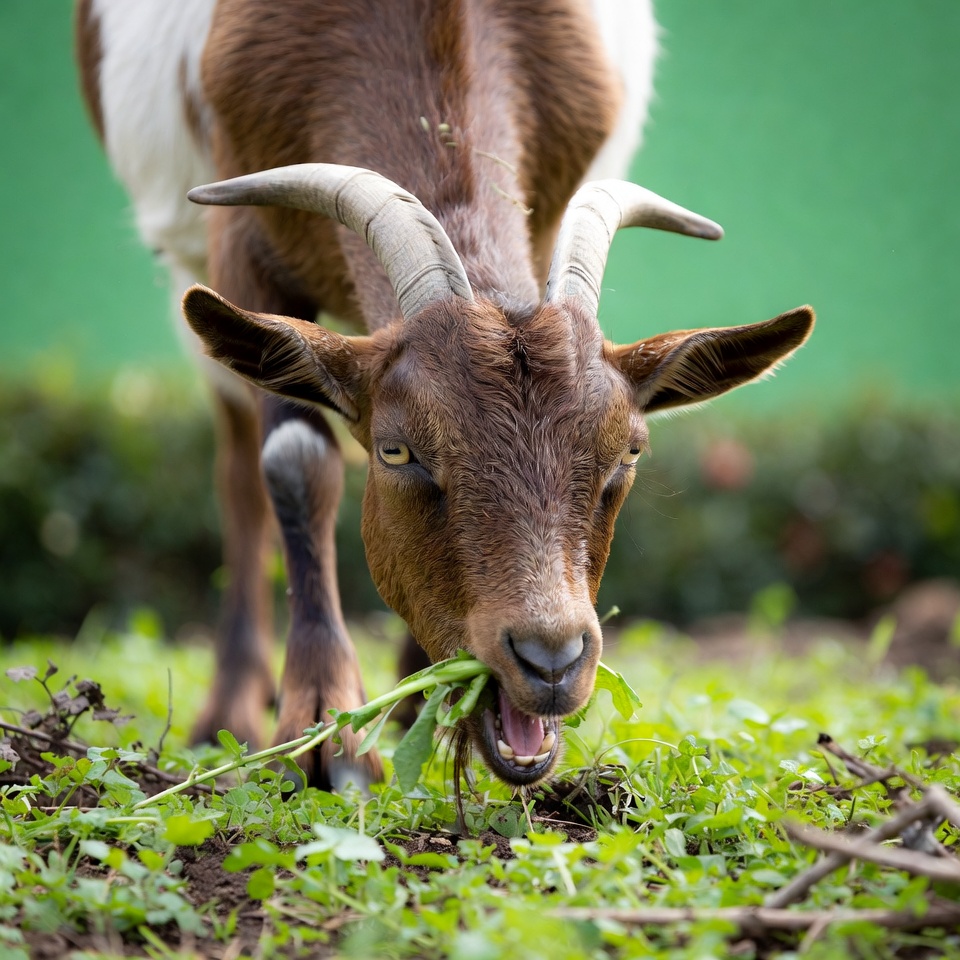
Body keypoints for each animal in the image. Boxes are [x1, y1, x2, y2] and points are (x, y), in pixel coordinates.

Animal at [76, 0, 814, 792]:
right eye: (397, 451)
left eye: (628, 453)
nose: (550, 661)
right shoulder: (239, 240)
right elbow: (297, 461)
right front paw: (325, 730)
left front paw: (417, 706)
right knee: (239, 465)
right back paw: (232, 710)